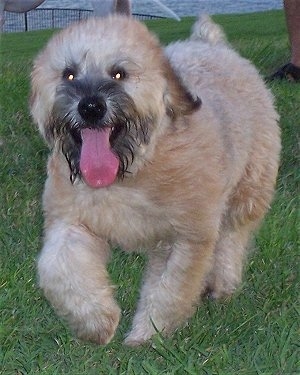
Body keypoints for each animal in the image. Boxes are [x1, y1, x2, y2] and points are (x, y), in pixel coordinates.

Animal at [30, 14, 282, 346]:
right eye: (69, 74)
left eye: (119, 73)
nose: (91, 107)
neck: (129, 173)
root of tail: (209, 44)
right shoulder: (71, 221)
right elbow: (57, 268)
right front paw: (96, 321)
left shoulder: (188, 235)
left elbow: (170, 290)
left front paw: (148, 334)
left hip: (250, 186)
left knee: (233, 235)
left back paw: (222, 282)